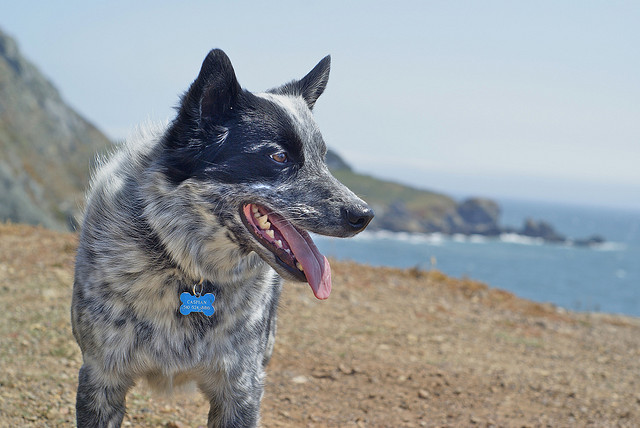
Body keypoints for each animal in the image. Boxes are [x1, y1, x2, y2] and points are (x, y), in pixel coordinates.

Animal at [70, 48, 372, 426]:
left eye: (323, 158)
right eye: (279, 156)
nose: (364, 215)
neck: (188, 269)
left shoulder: (241, 390)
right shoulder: (100, 379)